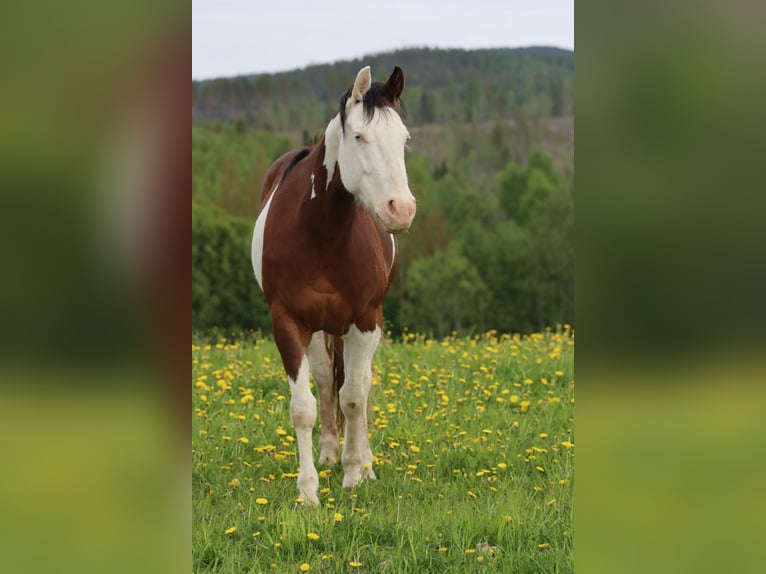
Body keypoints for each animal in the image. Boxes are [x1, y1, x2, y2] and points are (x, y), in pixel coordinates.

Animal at [251, 66, 416, 504]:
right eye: (359, 136)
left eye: (404, 139)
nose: (402, 209)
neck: (319, 232)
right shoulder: (287, 322)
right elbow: (304, 406)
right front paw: (309, 491)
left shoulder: (365, 321)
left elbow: (355, 397)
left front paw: (354, 473)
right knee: (326, 380)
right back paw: (327, 453)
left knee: (359, 385)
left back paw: (366, 463)